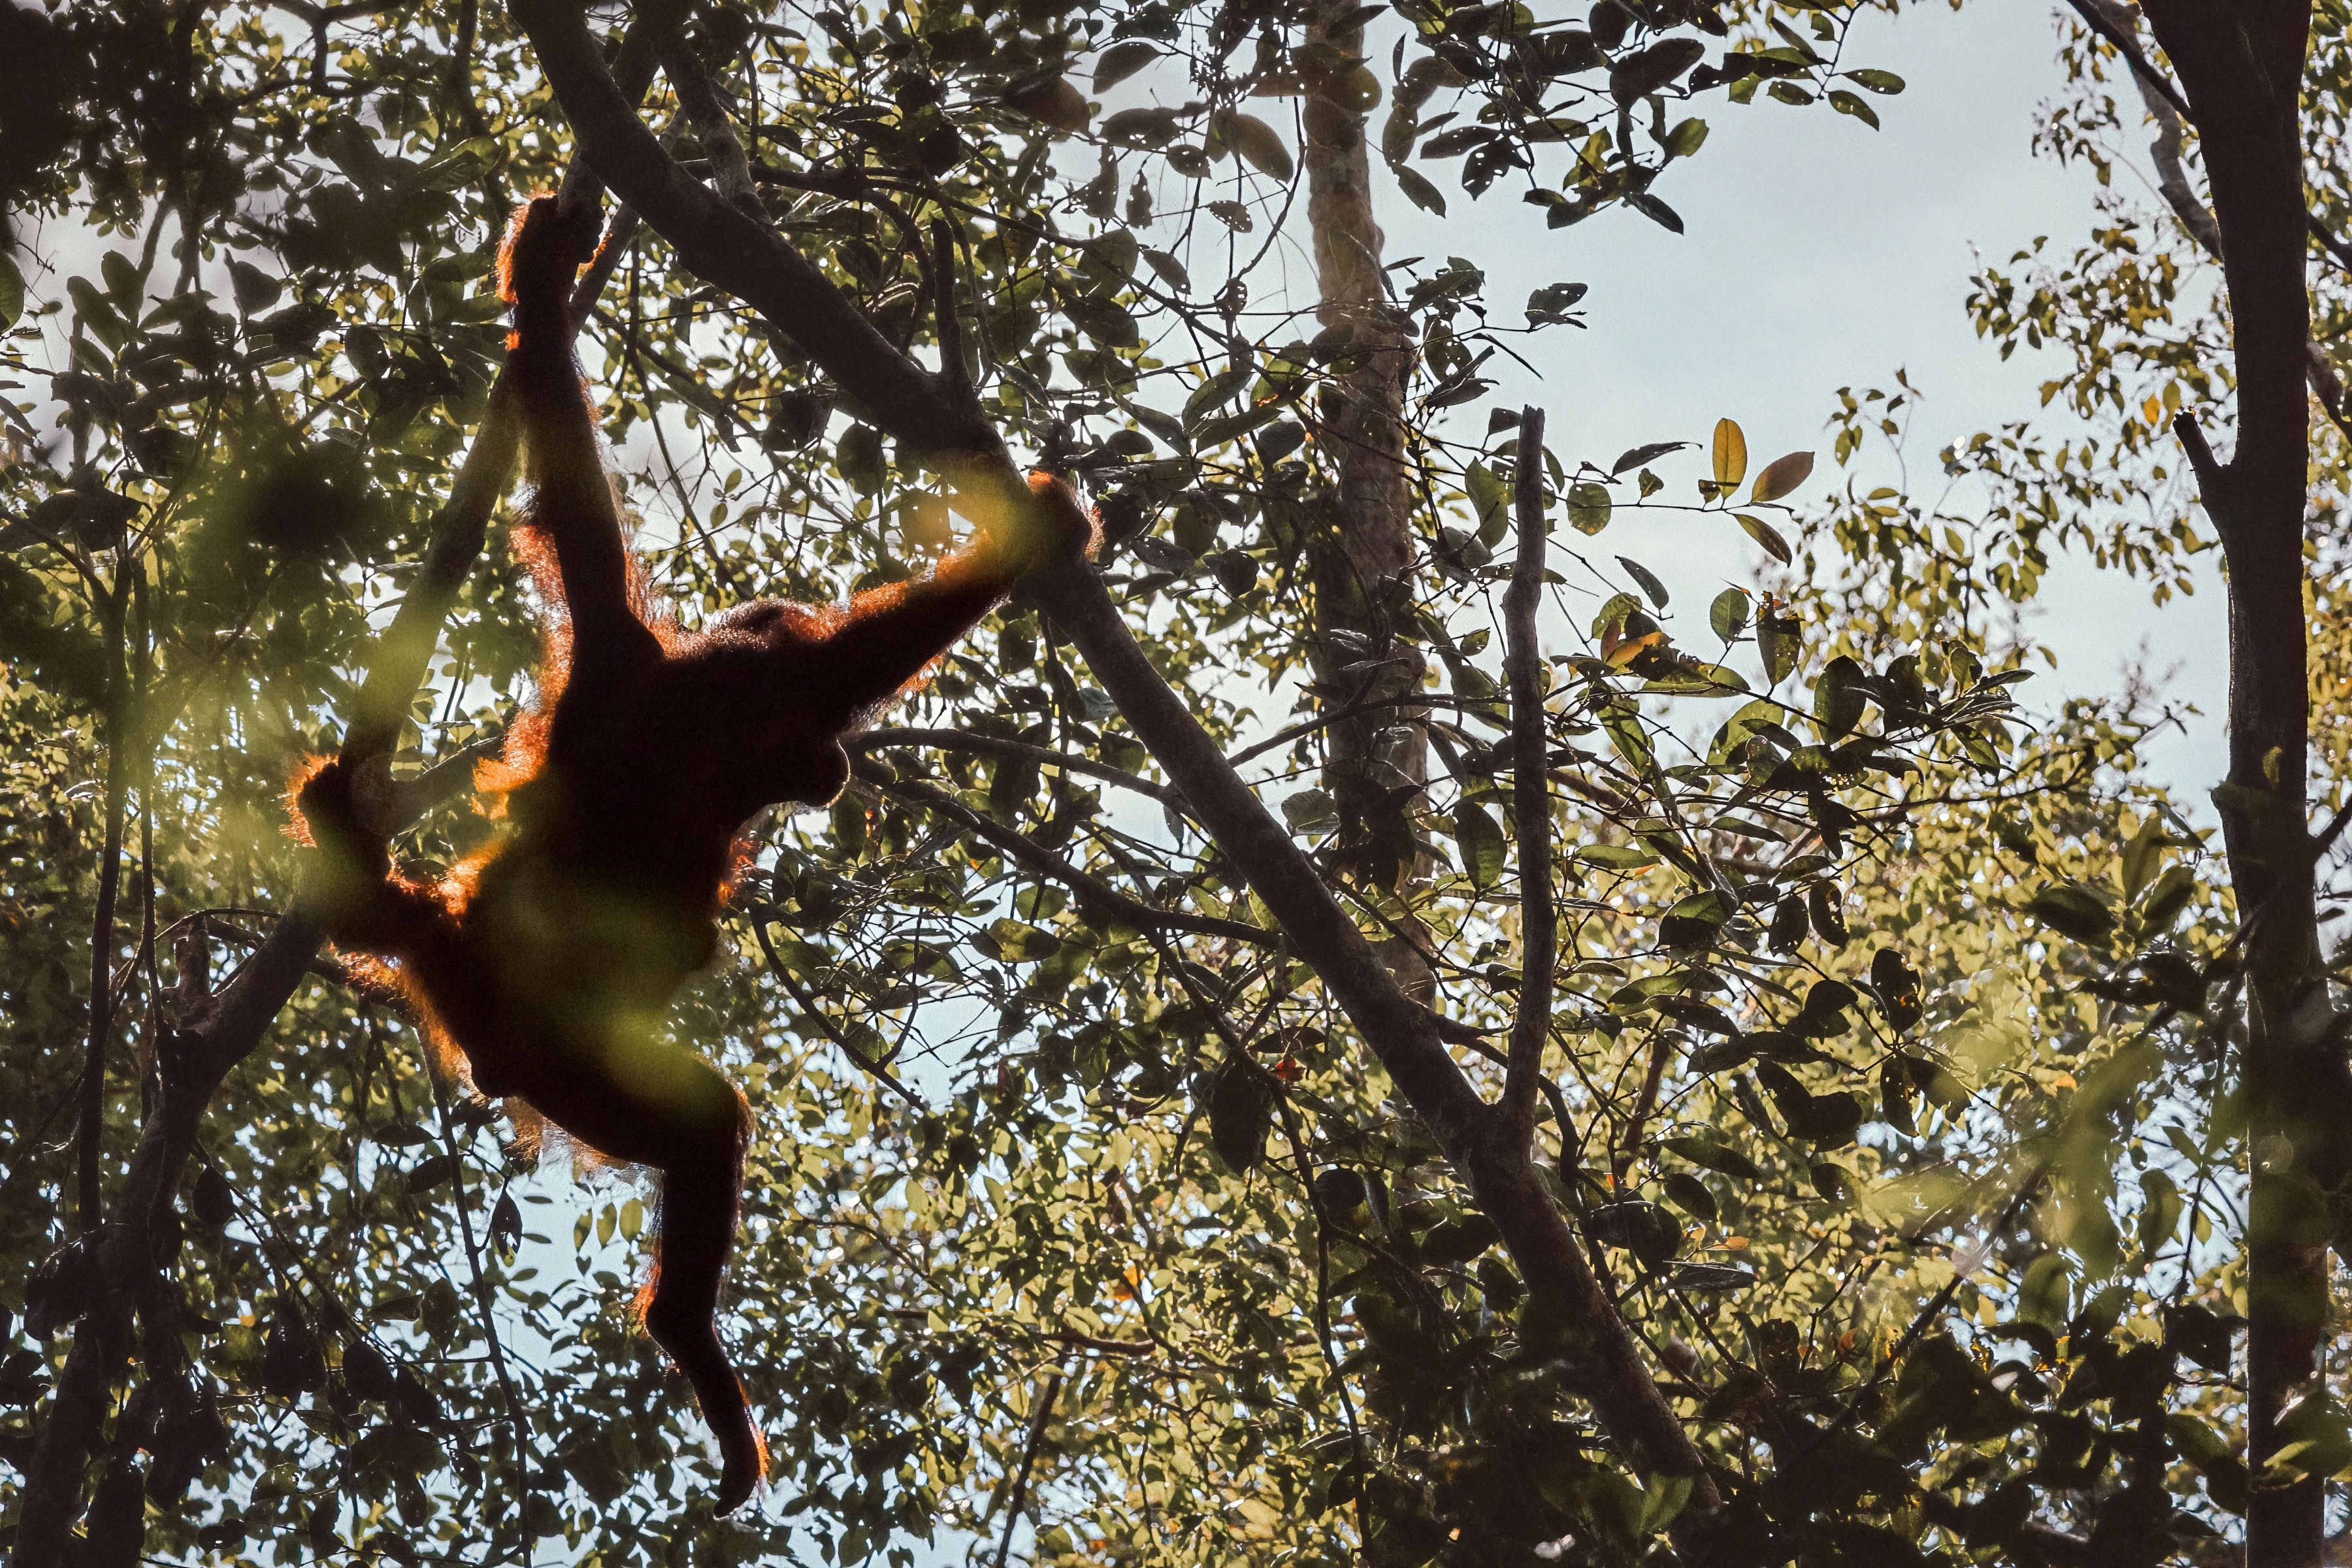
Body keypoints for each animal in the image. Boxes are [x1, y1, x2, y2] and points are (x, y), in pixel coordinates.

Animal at [292, 194, 1093, 1513]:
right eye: (811, 746)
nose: (837, 766)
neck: (702, 730)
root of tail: (453, 965)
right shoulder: (648, 665)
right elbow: (578, 501)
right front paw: (543, 285)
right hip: (566, 1060)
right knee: (706, 1123)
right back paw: (687, 1337)